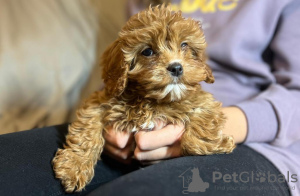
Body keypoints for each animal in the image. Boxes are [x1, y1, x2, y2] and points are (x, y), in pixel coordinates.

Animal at [52, 4, 234, 193]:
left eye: (184, 45)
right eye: (147, 51)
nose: (176, 67)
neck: (151, 100)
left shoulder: (202, 100)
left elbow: (201, 123)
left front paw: (218, 143)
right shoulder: (99, 101)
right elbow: (87, 128)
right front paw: (74, 166)